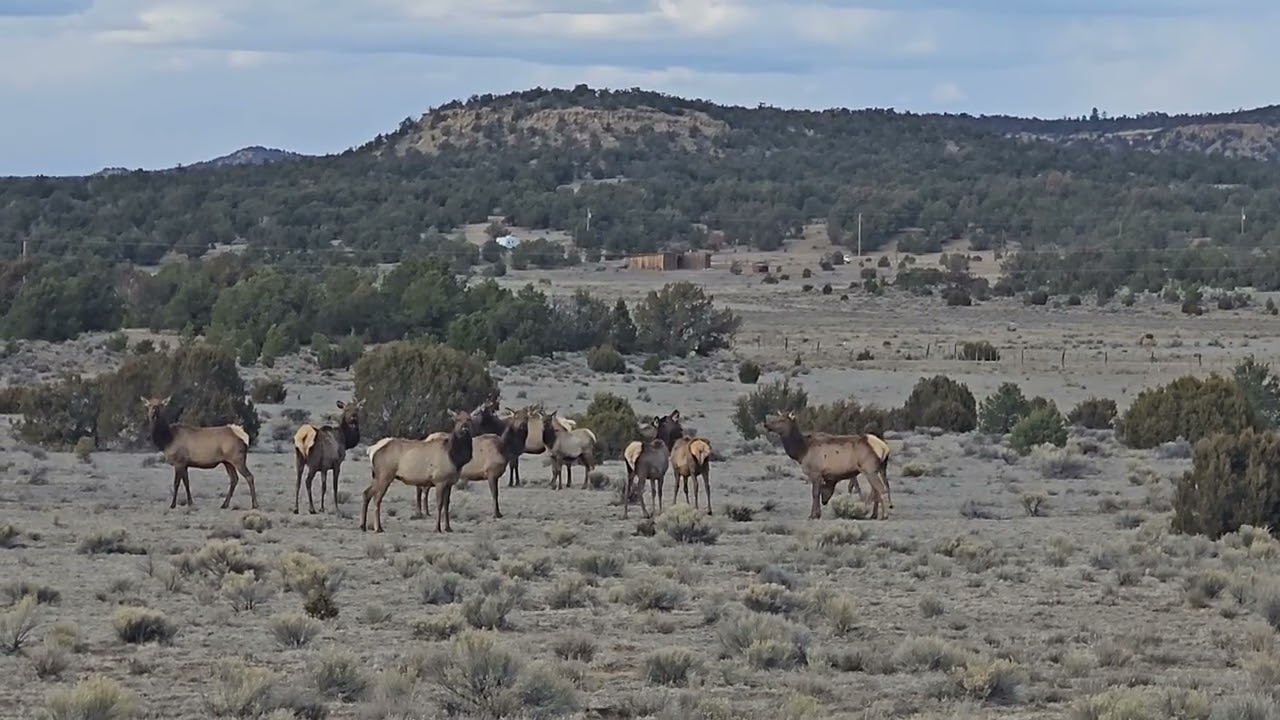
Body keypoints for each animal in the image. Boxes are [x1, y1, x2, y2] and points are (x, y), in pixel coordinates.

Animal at [762, 411, 891, 521]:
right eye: (777, 417)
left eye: (782, 420)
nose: (766, 424)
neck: (801, 451)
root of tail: (884, 447)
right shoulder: (823, 476)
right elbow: (819, 493)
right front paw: (817, 514)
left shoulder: (815, 472)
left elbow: (815, 494)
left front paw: (813, 515)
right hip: (880, 468)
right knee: (879, 489)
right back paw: (875, 514)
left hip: (870, 469)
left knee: (881, 489)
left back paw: (884, 515)